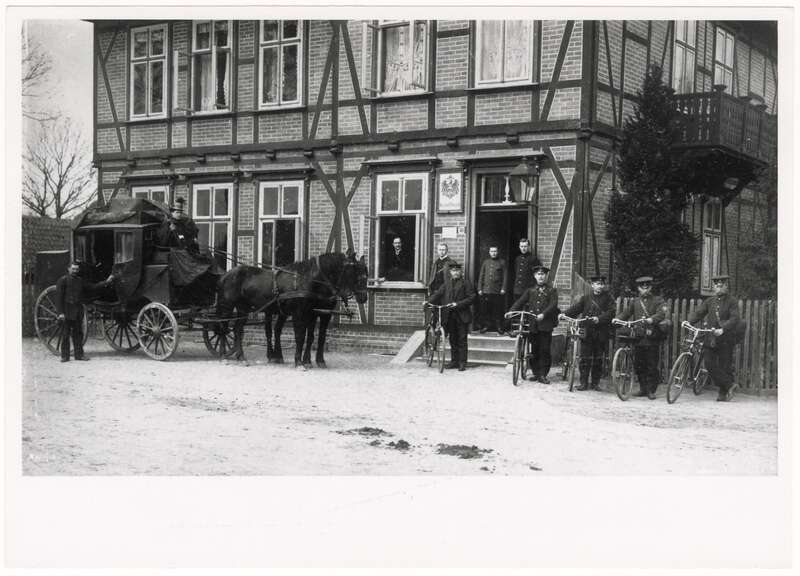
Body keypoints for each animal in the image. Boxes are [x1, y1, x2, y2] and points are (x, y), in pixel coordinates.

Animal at [215, 251, 368, 367]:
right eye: (353, 272)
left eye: (366, 274)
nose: (363, 297)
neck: (308, 280)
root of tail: (226, 275)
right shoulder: (299, 313)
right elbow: (300, 336)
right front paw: (299, 362)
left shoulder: (317, 313)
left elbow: (316, 337)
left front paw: (316, 361)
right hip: (227, 307)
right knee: (223, 328)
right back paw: (223, 356)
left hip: (244, 308)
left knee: (238, 330)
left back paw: (242, 357)